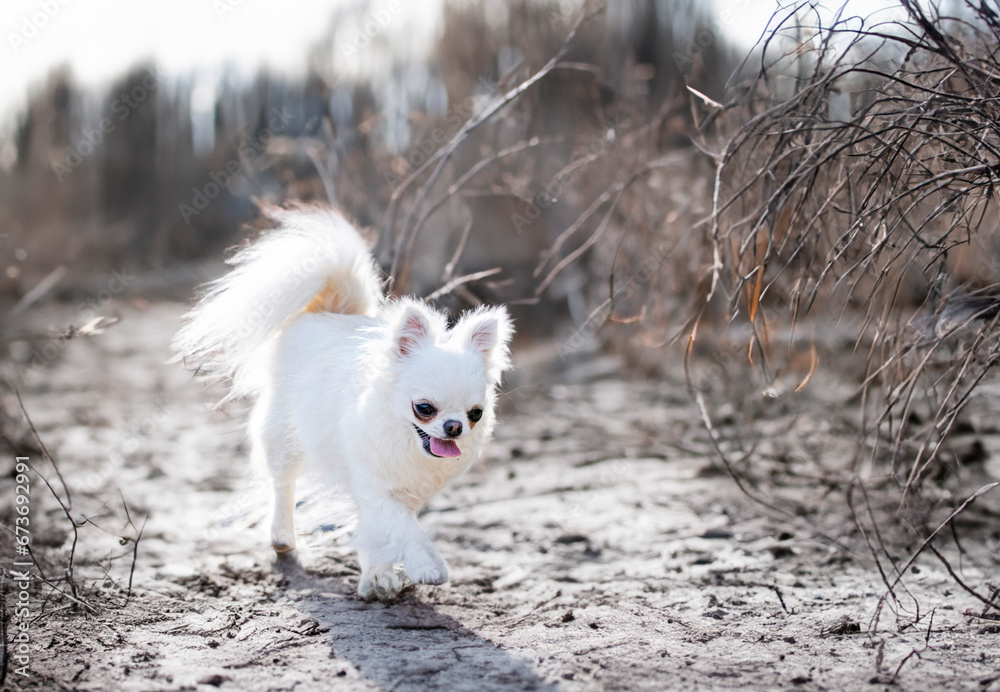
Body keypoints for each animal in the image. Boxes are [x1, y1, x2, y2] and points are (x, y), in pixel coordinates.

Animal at [173, 204, 512, 600]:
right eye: (424, 408)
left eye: (476, 414)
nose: (454, 427)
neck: (405, 442)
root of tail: (327, 311)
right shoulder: (375, 487)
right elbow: (405, 529)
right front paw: (427, 566)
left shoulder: (399, 493)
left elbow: (382, 531)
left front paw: (378, 577)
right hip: (285, 437)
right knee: (282, 485)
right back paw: (282, 537)